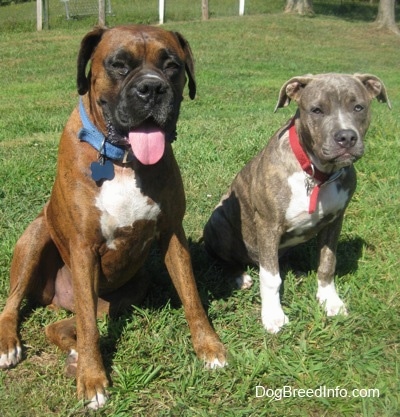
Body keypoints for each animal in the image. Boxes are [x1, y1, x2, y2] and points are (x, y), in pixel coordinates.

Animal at [205, 73, 390, 334]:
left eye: (358, 107)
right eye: (316, 110)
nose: (346, 137)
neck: (316, 174)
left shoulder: (335, 221)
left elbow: (327, 263)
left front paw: (330, 300)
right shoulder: (268, 225)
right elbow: (270, 278)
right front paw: (273, 316)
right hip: (218, 221)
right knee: (225, 258)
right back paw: (240, 277)